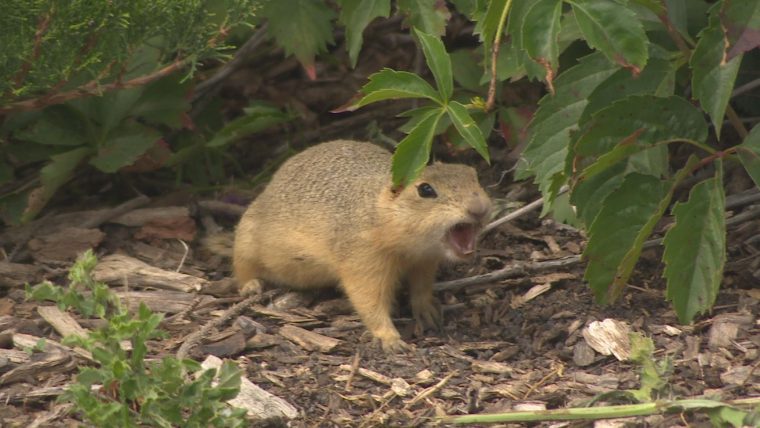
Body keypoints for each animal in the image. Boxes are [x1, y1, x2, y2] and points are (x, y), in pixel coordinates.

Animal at [233, 140, 492, 352]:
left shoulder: (425, 262)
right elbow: (368, 299)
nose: (479, 209)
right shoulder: (363, 259)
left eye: (474, 176)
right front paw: (389, 339)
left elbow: (421, 288)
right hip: (245, 240)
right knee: (242, 269)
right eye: (425, 189)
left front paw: (428, 310)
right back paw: (251, 286)